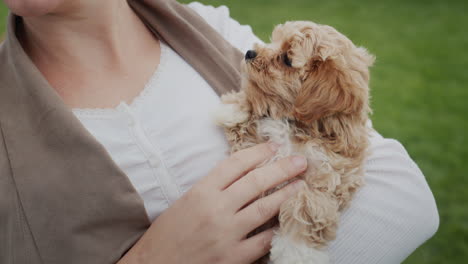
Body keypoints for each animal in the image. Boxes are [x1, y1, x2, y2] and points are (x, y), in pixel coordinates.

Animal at [217, 21, 376, 264]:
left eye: (286, 59)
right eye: (274, 41)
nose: (250, 52)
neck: (303, 127)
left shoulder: (325, 180)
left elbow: (306, 207)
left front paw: (295, 252)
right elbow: (253, 103)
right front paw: (235, 108)